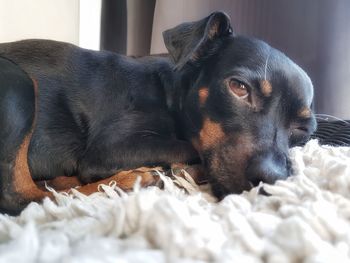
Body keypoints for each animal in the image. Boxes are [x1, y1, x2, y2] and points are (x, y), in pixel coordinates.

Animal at [0, 11, 316, 216]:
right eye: (239, 87)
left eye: (305, 130)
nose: (271, 179)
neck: (171, 93)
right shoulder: (108, 150)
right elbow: (190, 147)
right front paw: (185, 168)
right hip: (19, 83)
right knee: (26, 198)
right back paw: (130, 181)